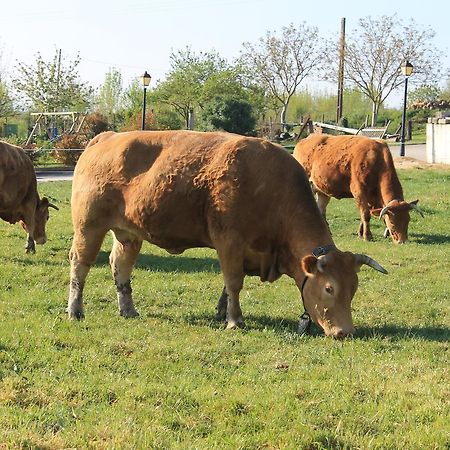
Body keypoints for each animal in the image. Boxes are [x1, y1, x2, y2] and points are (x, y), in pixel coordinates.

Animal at [67, 130, 386, 338]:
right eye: (329, 288)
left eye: (353, 288)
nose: (345, 332)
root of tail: (105, 137)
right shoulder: (229, 243)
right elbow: (234, 283)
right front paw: (235, 320)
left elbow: (228, 285)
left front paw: (222, 312)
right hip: (88, 227)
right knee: (80, 265)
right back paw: (75, 310)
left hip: (128, 234)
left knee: (120, 267)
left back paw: (128, 309)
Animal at [294, 134, 424, 243]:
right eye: (392, 222)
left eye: (408, 219)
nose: (402, 241)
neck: (377, 159)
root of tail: (304, 140)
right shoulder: (359, 191)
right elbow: (365, 214)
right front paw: (367, 236)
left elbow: (365, 214)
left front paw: (361, 233)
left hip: (322, 191)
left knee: (321, 209)